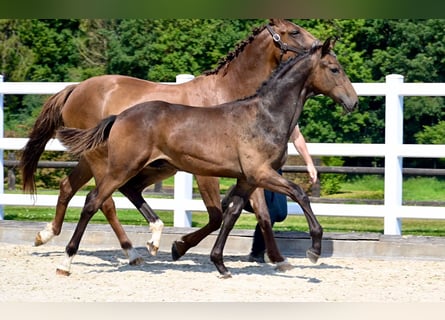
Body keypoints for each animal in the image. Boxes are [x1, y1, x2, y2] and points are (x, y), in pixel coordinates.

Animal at [20, 19, 316, 262]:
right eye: (294, 32)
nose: (318, 47)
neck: (228, 95)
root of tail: (75, 89)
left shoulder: (249, 170)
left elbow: (261, 213)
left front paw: (277, 258)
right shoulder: (208, 172)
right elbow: (216, 216)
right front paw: (179, 247)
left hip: (98, 159)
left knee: (69, 187)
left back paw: (47, 235)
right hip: (105, 161)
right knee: (104, 200)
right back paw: (132, 251)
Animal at [55, 38, 358, 278]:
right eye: (334, 69)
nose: (353, 102)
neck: (265, 115)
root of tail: (119, 116)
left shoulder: (248, 180)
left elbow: (231, 214)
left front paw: (219, 264)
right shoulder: (260, 173)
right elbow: (299, 193)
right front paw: (314, 249)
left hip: (154, 167)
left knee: (126, 191)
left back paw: (153, 239)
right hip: (122, 166)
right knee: (93, 201)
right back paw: (67, 262)